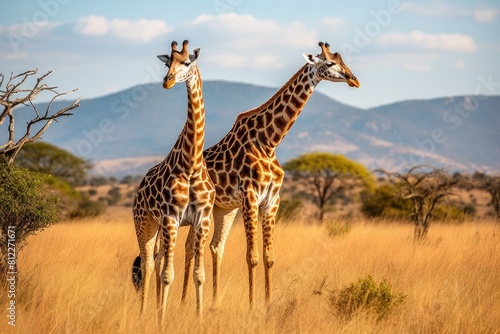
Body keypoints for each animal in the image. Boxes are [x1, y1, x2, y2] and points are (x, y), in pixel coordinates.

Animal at [132, 39, 214, 320]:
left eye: (187, 62)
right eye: (167, 62)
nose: (167, 81)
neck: (190, 165)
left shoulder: (202, 219)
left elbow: (200, 275)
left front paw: (199, 319)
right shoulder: (170, 217)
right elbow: (168, 274)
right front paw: (161, 321)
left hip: (160, 226)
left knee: (156, 263)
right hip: (144, 222)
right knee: (148, 264)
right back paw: (144, 313)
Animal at [182, 40, 362, 306]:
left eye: (343, 60)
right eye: (330, 63)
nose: (354, 80)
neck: (269, 142)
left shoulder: (271, 200)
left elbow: (269, 257)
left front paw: (267, 305)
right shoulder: (250, 197)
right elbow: (252, 256)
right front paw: (251, 306)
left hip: (223, 209)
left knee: (215, 246)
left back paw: (213, 302)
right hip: (198, 210)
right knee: (189, 247)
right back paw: (184, 302)